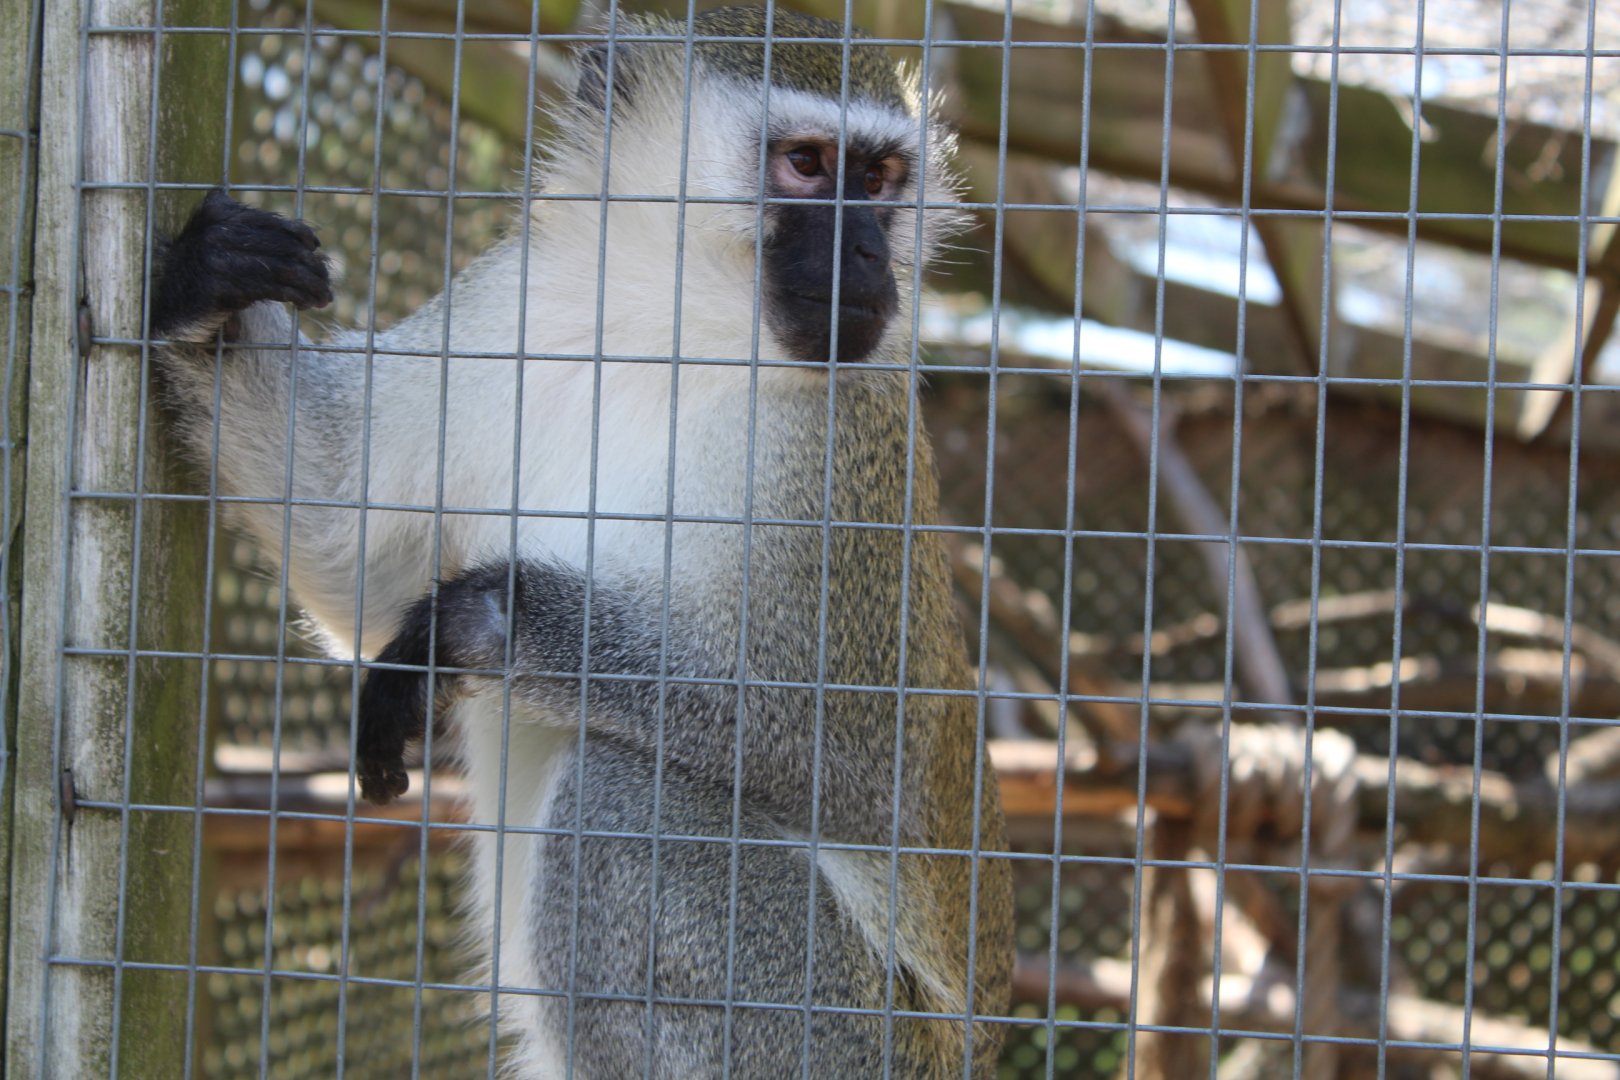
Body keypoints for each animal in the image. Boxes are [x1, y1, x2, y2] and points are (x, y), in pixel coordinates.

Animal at [147, 7, 1012, 1077]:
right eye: (808, 165)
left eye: (882, 178)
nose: (865, 259)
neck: (674, 329)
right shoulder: (507, 310)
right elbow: (347, 538)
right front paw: (206, 285)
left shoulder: (840, 452)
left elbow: (853, 753)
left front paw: (479, 623)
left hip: (844, 1036)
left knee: (618, 798)